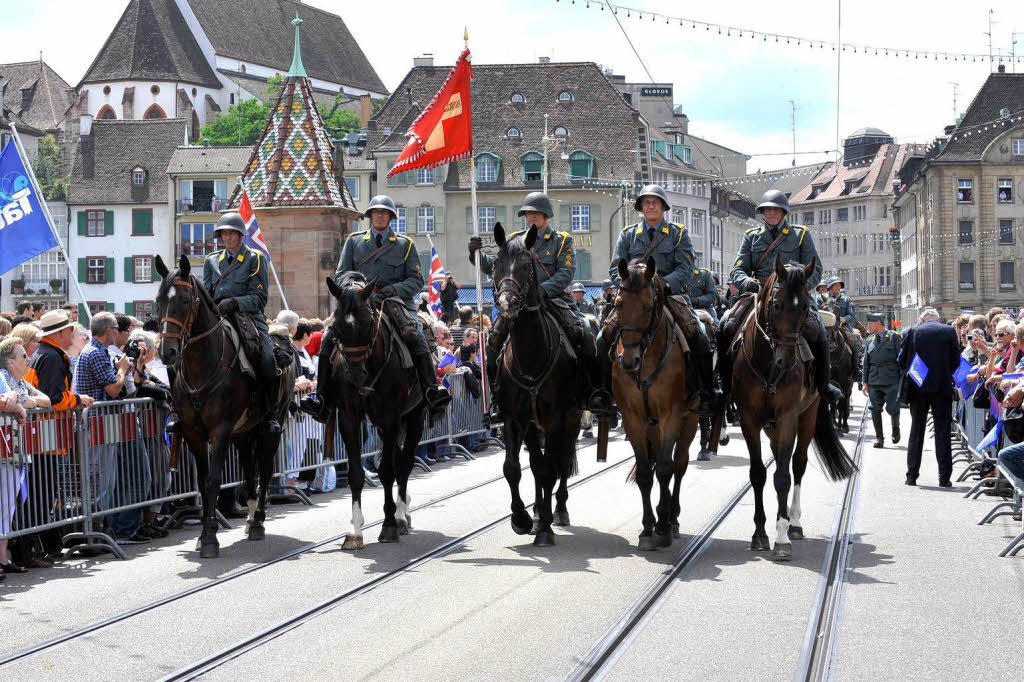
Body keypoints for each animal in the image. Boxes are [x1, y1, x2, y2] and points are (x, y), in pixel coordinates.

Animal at [153, 251, 294, 557]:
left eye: (185, 300)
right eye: (158, 300)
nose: (167, 352)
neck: (202, 364)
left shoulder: (220, 432)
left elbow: (213, 481)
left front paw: (209, 538)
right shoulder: (194, 434)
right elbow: (205, 483)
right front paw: (205, 533)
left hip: (271, 426)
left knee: (265, 470)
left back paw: (258, 521)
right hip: (244, 431)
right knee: (250, 471)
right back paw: (250, 517)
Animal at [321, 270, 421, 548]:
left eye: (367, 324)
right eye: (336, 325)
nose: (355, 375)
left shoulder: (391, 419)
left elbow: (387, 471)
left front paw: (388, 525)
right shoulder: (349, 418)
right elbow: (355, 473)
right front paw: (355, 530)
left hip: (414, 416)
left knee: (404, 464)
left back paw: (400, 515)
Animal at [489, 224, 581, 548]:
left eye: (527, 265)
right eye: (495, 264)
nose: (507, 305)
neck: (531, 356)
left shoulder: (556, 418)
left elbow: (551, 467)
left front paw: (545, 529)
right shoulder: (514, 418)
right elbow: (513, 468)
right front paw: (522, 519)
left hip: (571, 420)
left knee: (561, 460)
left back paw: (559, 510)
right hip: (533, 426)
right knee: (538, 464)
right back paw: (541, 513)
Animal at [606, 254, 704, 548]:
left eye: (649, 306)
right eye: (618, 303)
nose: (628, 361)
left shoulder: (672, 416)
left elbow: (664, 469)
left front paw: (662, 526)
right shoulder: (632, 419)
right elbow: (644, 473)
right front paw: (648, 527)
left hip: (690, 418)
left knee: (679, 464)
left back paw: (673, 518)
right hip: (653, 424)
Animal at [729, 254, 856, 557]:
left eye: (806, 307)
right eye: (776, 305)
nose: (786, 361)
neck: (767, 363)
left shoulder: (788, 416)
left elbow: (784, 477)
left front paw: (782, 537)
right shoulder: (749, 419)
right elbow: (759, 474)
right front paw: (760, 533)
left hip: (808, 414)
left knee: (797, 464)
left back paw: (793, 522)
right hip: (771, 426)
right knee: (779, 460)